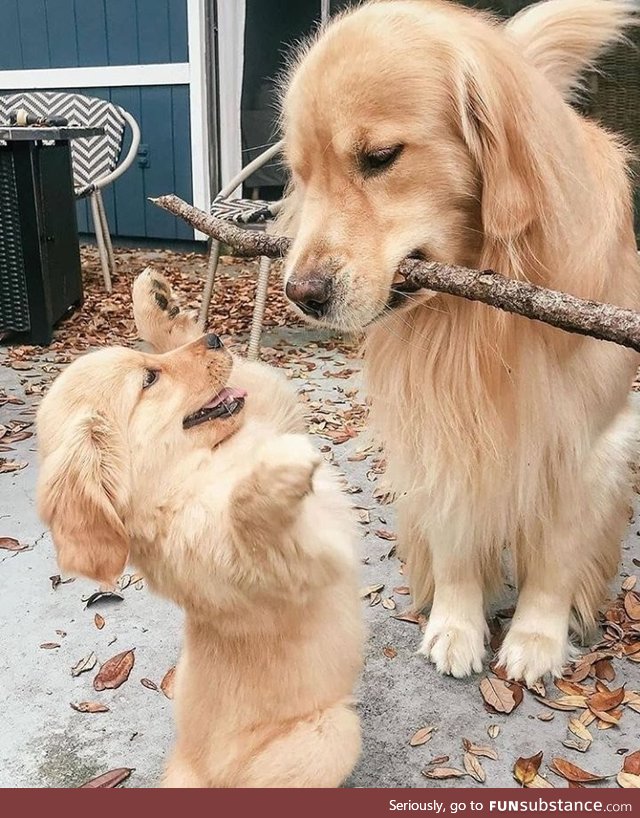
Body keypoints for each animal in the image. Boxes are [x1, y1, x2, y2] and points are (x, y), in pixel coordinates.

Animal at [37, 270, 362, 788]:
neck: (189, 474)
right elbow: (250, 517)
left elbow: (247, 378)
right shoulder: (290, 565)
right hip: (329, 734)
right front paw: (273, 473)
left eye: (149, 364)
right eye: (149, 380)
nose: (215, 338)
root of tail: (186, 768)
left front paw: (157, 305)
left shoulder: (267, 408)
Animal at [280, 1, 640, 684]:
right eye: (300, 176)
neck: (480, 317)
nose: (301, 294)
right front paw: (455, 626)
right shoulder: (438, 426)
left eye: (380, 156)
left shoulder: (589, 439)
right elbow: (454, 537)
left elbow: (556, 558)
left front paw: (536, 638)